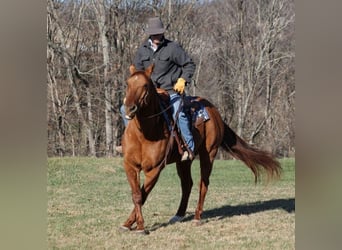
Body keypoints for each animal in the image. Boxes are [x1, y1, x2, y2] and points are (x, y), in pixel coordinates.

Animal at [120, 63, 280, 233]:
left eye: (145, 85)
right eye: (128, 84)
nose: (130, 108)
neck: (144, 135)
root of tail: (214, 111)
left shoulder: (154, 169)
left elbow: (143, 195)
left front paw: (139, 226)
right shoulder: (130, 166)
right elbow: (137, 195)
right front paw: (128, 224)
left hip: (208, 154)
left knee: (203, 183)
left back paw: (197, 217)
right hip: (184, 161)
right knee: (187, 184)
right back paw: (179, 214)